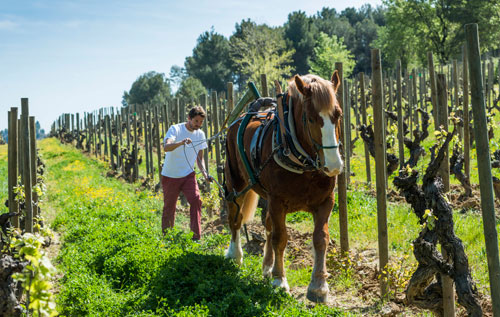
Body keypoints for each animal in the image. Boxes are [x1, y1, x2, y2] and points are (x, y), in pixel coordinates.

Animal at [224, 71, 344, 302]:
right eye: (310, 118)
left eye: (338, 115)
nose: (333, 165)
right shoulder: (277, 201)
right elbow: (280, 239)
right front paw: (280, 282)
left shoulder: (326, 201)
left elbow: (320, 239)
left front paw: (319, 286)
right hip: (235, 182)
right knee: (235, 217)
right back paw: (235, 255)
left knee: (268, 225)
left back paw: (267, 266)